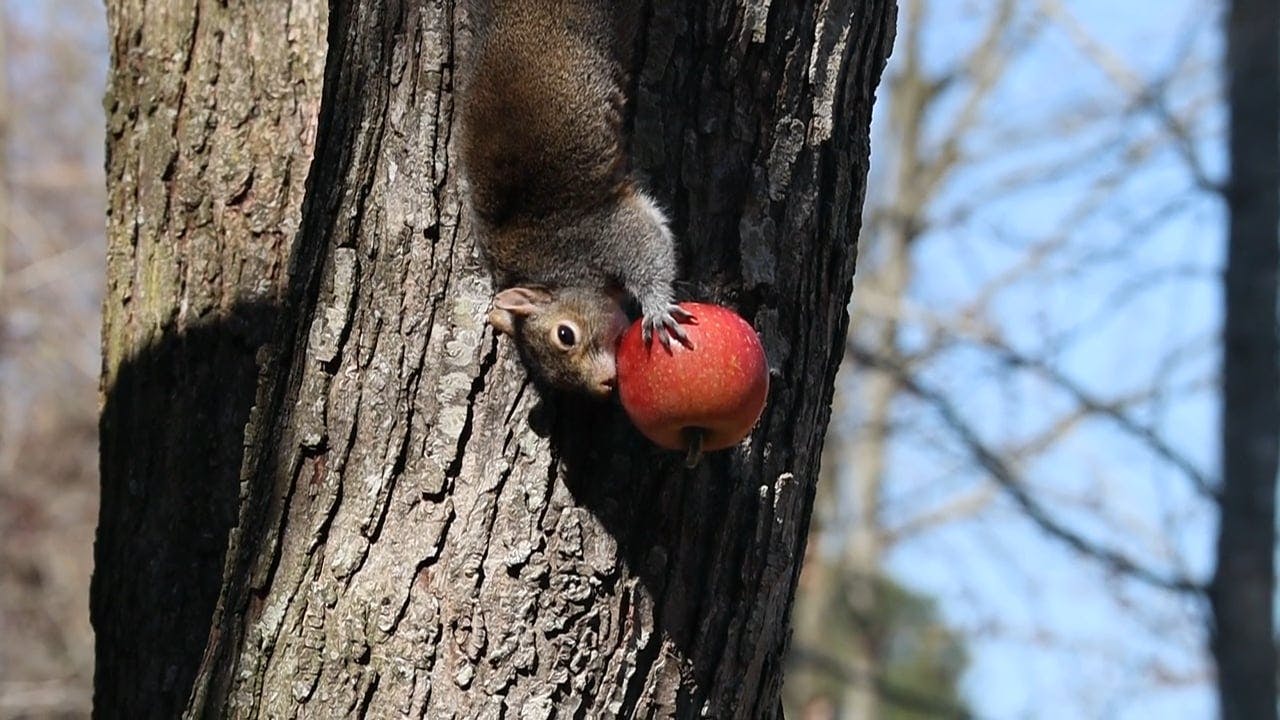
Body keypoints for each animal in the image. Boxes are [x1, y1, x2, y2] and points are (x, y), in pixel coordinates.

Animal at [458, 0, 691, 398]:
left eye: (565, 335)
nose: (604, 384)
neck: (555, 274)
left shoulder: (598, 233)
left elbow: (646, 247)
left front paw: (657, 307)